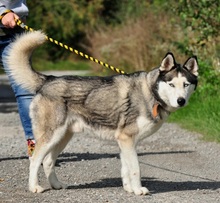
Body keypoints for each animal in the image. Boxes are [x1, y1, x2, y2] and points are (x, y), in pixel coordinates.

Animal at [6, 31, 199, 195]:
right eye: (171, 84)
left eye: (186, 84)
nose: (181, 101)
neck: (151, 93)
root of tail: (47, 80)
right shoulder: (127, 139)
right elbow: (135, 169)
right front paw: (138, 190)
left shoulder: (125, 142)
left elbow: (126, 169)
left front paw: (129, 188)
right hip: (51, 136)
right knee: (35, 160)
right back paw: (34, 187)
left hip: (63, 137)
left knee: (47, 161)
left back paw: (56, 185)